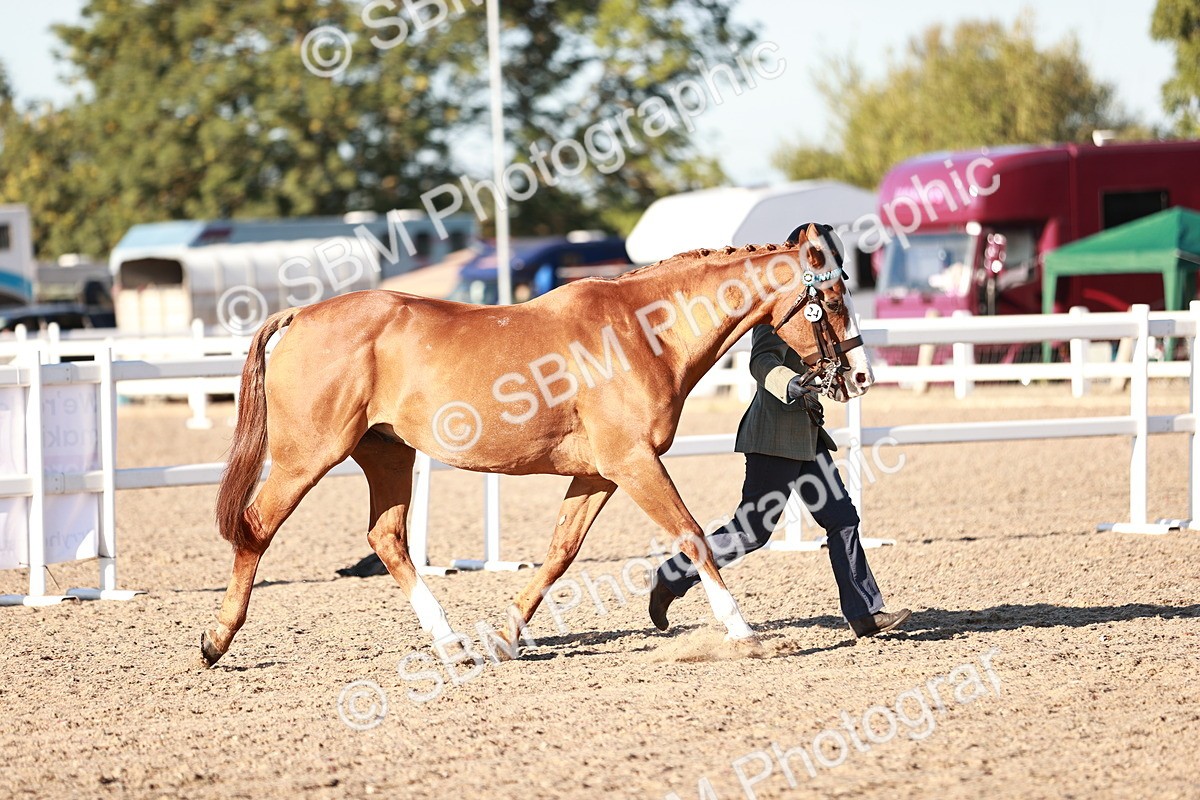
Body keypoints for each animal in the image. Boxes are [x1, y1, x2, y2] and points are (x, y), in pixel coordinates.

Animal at [201, 223, 874, 666]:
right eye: (831, 298)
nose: (861, 376)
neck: (645, 332)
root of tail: (303, 315)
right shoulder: (635, 463)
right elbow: (693, 537)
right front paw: (744, 634)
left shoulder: (601, 474)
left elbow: (560, 554)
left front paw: (505, 636)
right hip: (306, 456)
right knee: (256, 527)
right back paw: (215, 641)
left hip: (387, 453)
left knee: (387, 539)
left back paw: (451, 643)